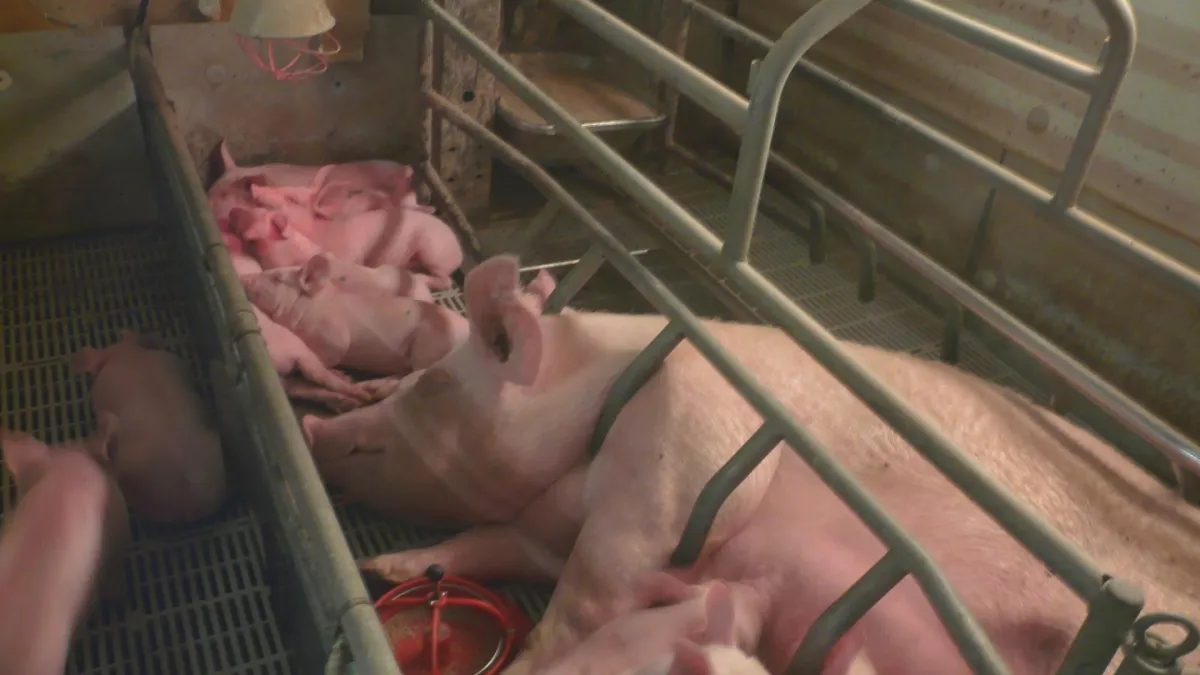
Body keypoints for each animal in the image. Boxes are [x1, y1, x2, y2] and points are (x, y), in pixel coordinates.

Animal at [241, 254, 469, 377]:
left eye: (277, 278)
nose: (245, 277)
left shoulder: (333, 335)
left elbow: (331, 354)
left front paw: (339, 374)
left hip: (429, 350)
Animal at [352, 254, 1200, 675]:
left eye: (430, 386)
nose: (334, 432)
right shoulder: (546, 522)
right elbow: (492, 542)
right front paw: (389, 568)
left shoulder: (670, 474)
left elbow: (587, 597)